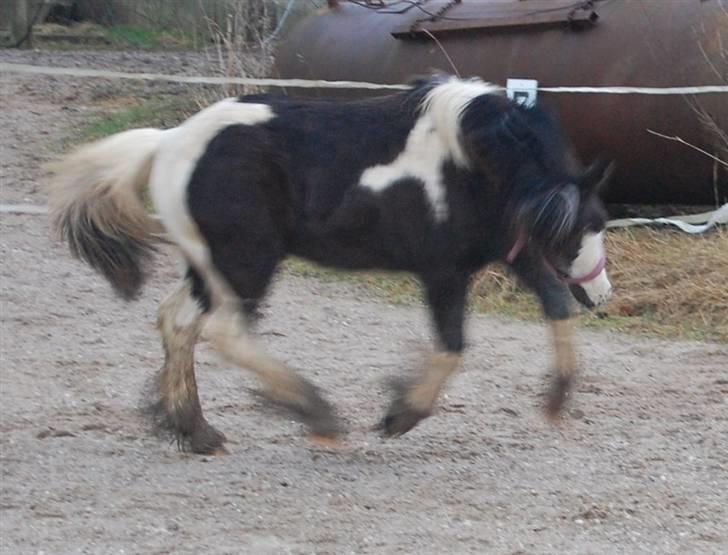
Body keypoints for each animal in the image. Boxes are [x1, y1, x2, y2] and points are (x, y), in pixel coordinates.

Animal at [48, 76, 612, 454]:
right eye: (589, 225)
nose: (602, 294)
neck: (470, 163)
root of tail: (168, 142)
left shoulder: (509, 250)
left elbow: (555, 307)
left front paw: (557, 399)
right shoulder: (444, 271)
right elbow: (452, 347)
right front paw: (399, 415)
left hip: (210, 268)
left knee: (177, 321)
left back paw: (197, 431)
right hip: (246, 263)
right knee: (226, 333)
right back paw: (316, 415)